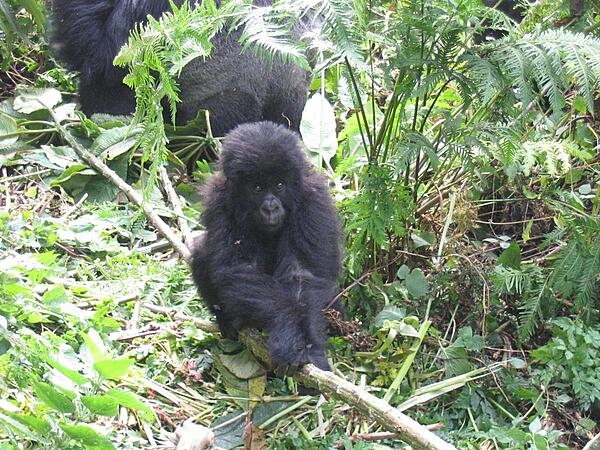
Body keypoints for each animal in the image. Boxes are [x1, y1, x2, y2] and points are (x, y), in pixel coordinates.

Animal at [192, 121, 342, 370]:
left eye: (279, 185)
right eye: (258, 188)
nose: (271, 208)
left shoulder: (313, 198)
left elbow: (302, 272)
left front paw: (308, 343)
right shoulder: (219, 200)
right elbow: (240, 268)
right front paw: (291, 331)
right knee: (200, 251)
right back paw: (229, 320)